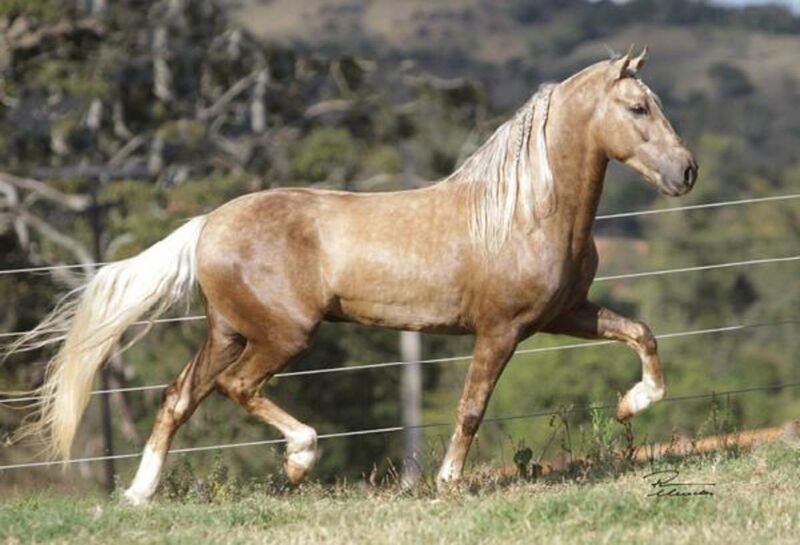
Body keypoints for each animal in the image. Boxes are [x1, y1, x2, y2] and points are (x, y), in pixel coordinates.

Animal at [4, 49, 692, 504]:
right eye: (637, 107)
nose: (686, 171)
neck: (524, 210)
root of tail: (206, 223)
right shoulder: (501, 330)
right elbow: (471, 408)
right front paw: (447, 483)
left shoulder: (565, 314)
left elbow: (643, 332)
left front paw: (632, 404)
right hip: (283, 334)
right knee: (235, 387)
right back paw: (300, 459)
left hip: (226, 330)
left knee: (179, 396)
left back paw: (139, 496)